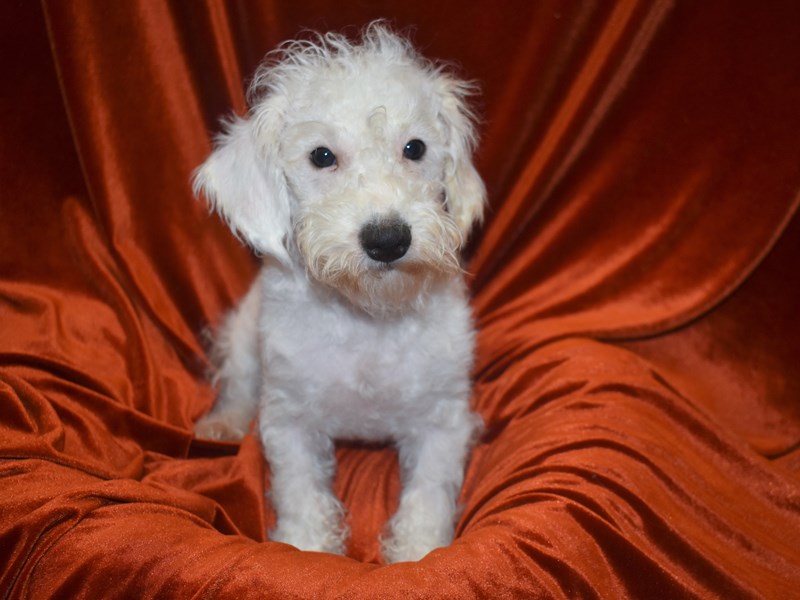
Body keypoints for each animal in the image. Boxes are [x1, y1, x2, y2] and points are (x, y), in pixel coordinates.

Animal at [195, 19, 482, 564]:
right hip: (244, 335)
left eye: (415, 148)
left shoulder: (442, 421)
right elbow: (302, 492)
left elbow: (428, 495)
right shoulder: (290, 420)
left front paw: (417, 553)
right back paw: (222, 423)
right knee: (240, 385)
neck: (366, 317)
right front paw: (307, 547)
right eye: (321, 156)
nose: (388, 239)